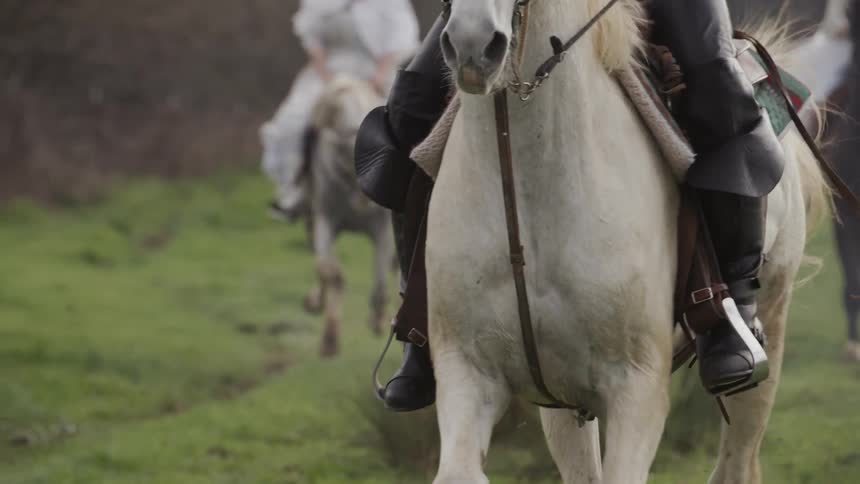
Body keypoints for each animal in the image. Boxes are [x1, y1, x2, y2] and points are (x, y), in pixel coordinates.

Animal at [302, 76, 393, 357]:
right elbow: (330, 271)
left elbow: (381, 278)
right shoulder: (324, 219)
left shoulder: (382, 229)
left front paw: (378, 320)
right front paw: (329, 338)